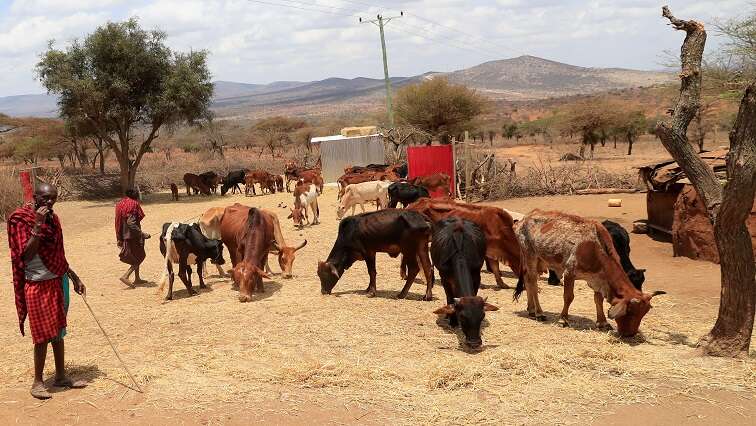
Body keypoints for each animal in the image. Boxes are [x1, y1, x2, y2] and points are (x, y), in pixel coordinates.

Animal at [432, 218, 496, 352]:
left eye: (482, 316)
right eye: (462, 317)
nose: (474, 343)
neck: (460, 253)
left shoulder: (476, 274)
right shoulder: (444, 278)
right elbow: (449, 298)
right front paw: (452, 320)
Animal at [512, 210, 668, 336]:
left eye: (643, 314)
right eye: (630, 312)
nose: (630, 334)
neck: (594, 247)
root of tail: (523, 219)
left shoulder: (598, 279)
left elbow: (598, 300)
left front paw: (603, 322)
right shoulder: (569, 273)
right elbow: (568, 297)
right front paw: (563, 319)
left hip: (539, 260)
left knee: (528, 281)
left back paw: (531, 309)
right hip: (530, 256)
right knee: (532, 283)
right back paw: (539, 312)